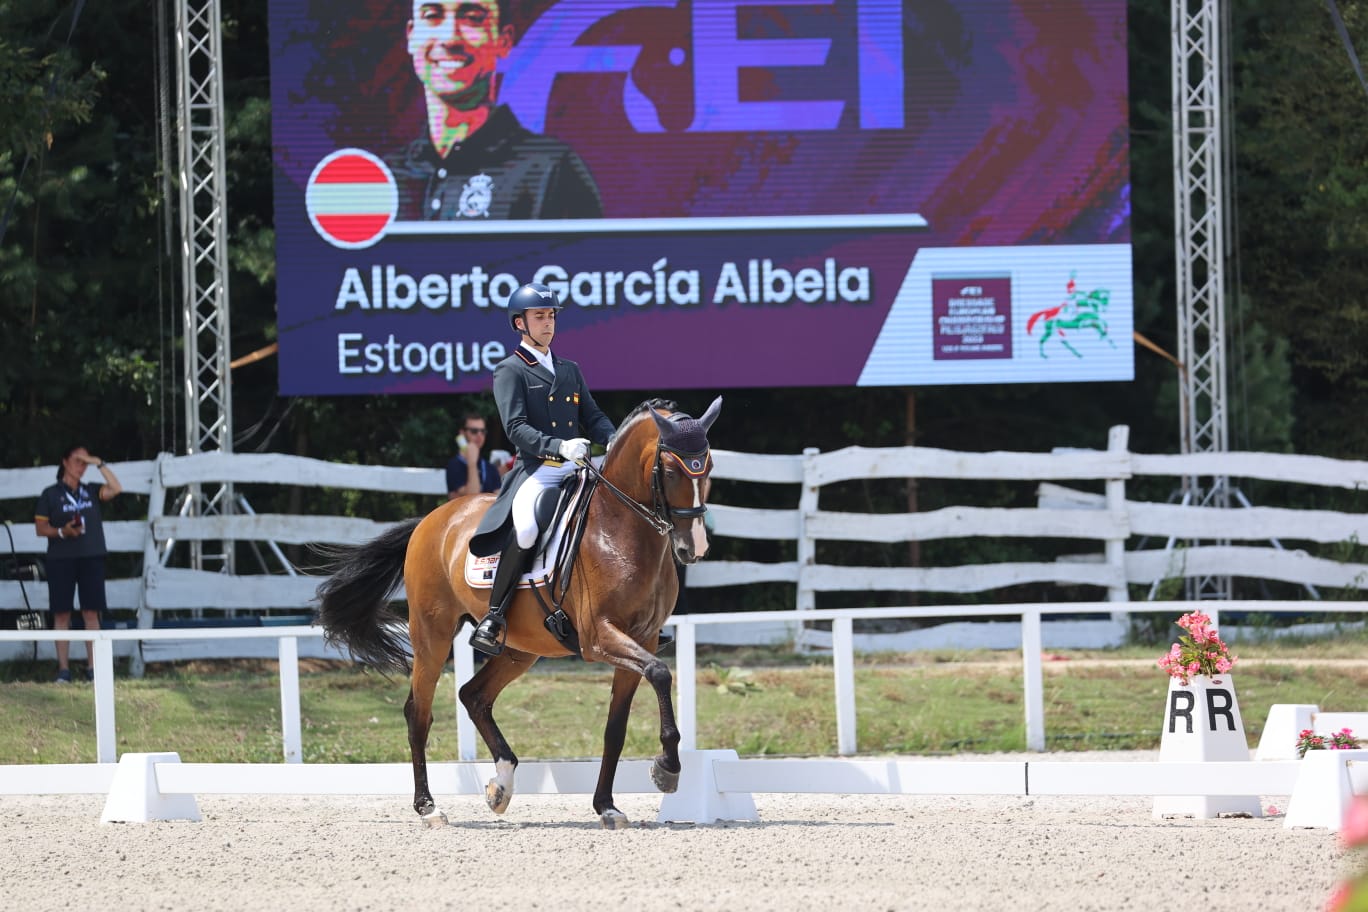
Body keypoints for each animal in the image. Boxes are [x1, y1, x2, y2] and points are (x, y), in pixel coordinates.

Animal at [314, 396, 722, 831]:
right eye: (671, 470)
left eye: (709, 467)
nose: (694, 548)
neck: (621, 528)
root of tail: (431, 519)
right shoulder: (600, 637)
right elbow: (661, 674)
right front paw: (667, 770)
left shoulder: (641, 638)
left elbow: (616, 727)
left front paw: (607, 806)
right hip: (432, 635)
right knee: (418, 713)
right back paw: (429, 807)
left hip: (519, 648)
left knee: (473, 696)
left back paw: (501, 785)